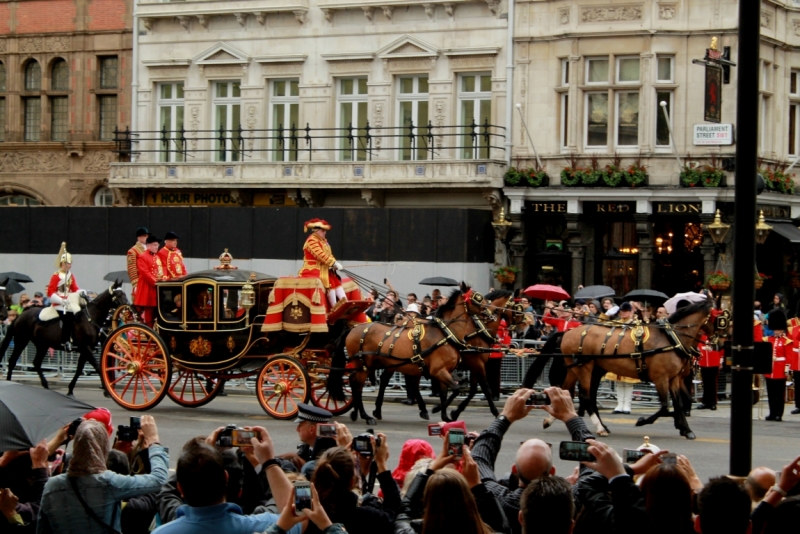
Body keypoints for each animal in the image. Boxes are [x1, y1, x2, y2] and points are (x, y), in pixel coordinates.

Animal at [0, 282, 128, 396]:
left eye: (124, 293)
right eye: (119, 294)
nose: (128, 307)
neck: (90, 317)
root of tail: (20, 315)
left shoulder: (86, 349)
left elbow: (79, 369)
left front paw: (70, 390)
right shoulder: (85, 347)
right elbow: (97, 366)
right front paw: (106, 391)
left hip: (42, 345)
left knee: (36, 363)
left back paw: (45, 385)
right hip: (21, 340)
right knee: (12, 361)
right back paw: (10, 382)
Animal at [332, 284, 482, 428]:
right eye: (478, 299)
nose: (489, 312)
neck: (445, 333)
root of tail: (353, 328)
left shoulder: (442, 371)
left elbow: (449, 391)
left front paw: (445, 416)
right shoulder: (438, 371)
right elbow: (455, 389)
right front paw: (437, 409)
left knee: (358, 381)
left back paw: (358, 413)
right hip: (364, 366)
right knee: (358, 386)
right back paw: (365, 415)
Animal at [528, 302, 728, 440]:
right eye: (721, 321)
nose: (721, 345)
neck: (671, 339)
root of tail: (569, 332)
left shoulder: (674, 379)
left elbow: (678, 403)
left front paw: (685, 428)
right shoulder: (661, 378)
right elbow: (665, 407)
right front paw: (643, 421)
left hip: (579, 368)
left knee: (567, 391)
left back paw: (553, 420)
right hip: (584, 367)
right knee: (584, 396)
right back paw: (599, 427)